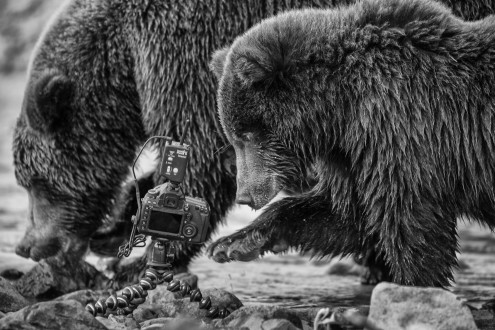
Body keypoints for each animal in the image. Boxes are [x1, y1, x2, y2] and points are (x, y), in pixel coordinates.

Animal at [208, 0, 495, 286]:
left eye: (247, 136)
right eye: (233, 138)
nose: (244, 195)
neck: (339, 109)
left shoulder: (403, 131)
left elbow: (412, 225)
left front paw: (414, 284)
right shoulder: (351, 152)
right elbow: (348, 217)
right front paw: (232, 243)